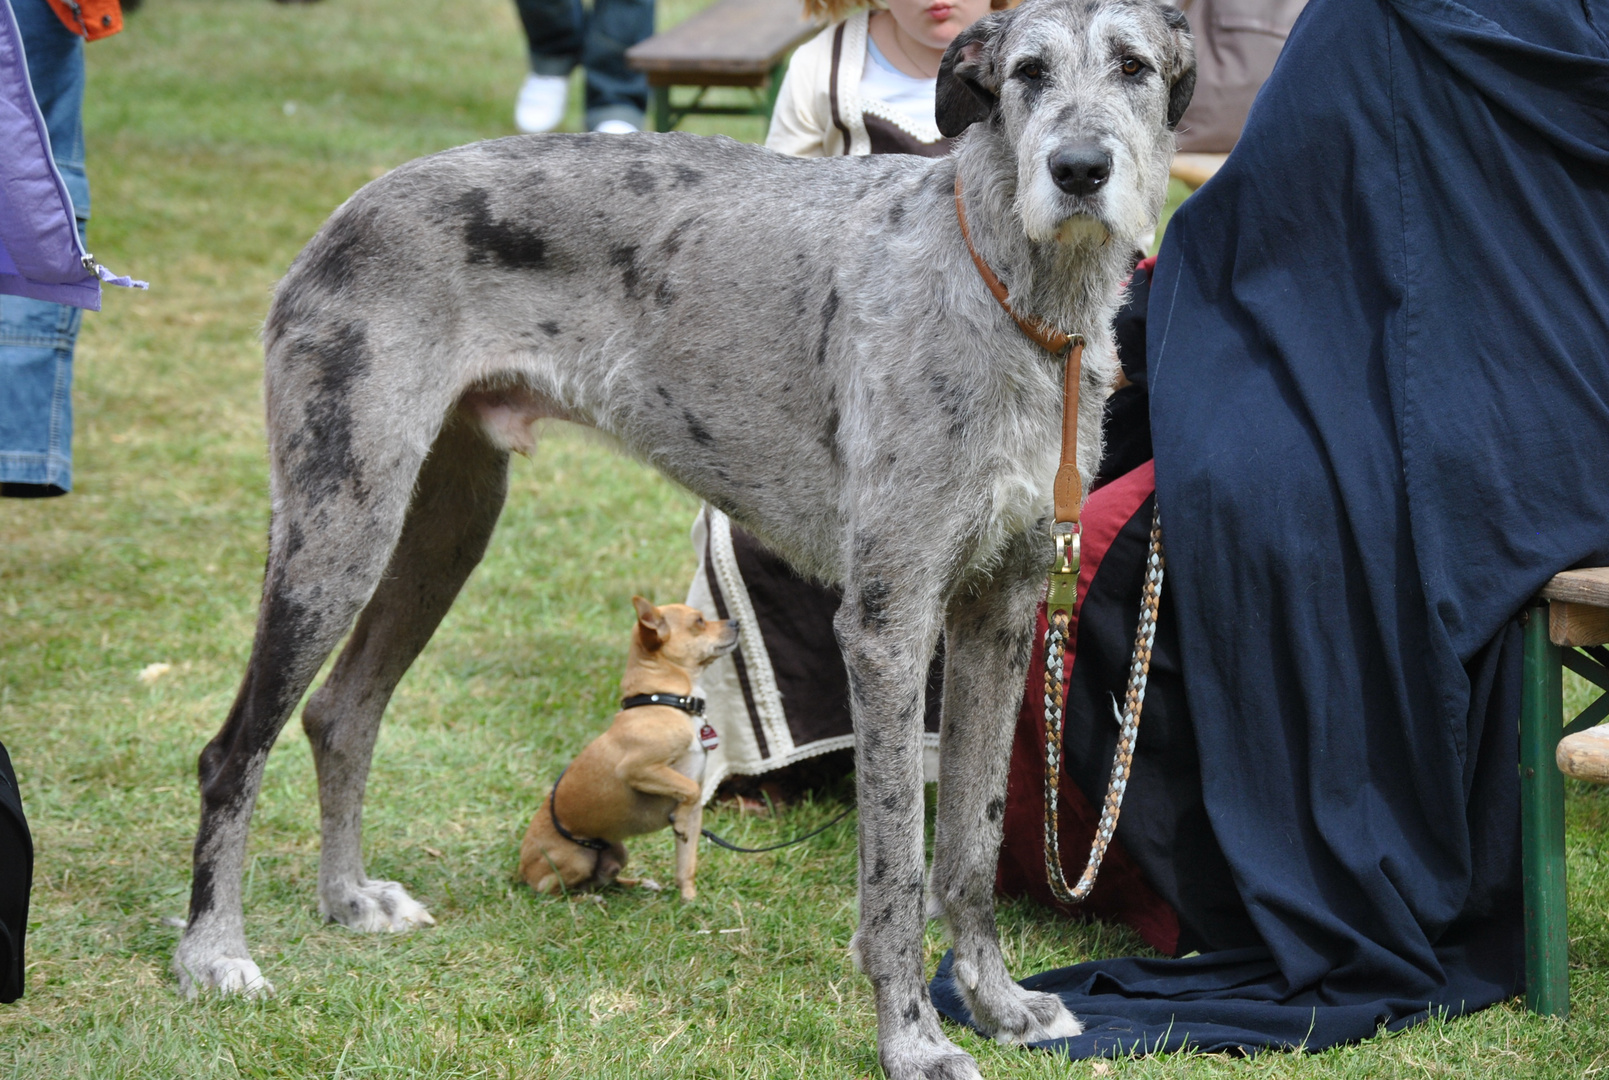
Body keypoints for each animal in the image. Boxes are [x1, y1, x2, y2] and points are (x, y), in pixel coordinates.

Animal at [518, 598, 736, 901]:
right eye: (699, 621)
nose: (736, 622)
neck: (666, 701)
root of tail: (520, 871)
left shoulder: (694, 814)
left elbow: (686, 863)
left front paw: (689, 900)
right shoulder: (638, 769)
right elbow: (688, 789)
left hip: (618, 851)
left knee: (603, 879)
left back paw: (639, 884)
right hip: (576, 858)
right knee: (554, 890)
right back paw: (586, 900)